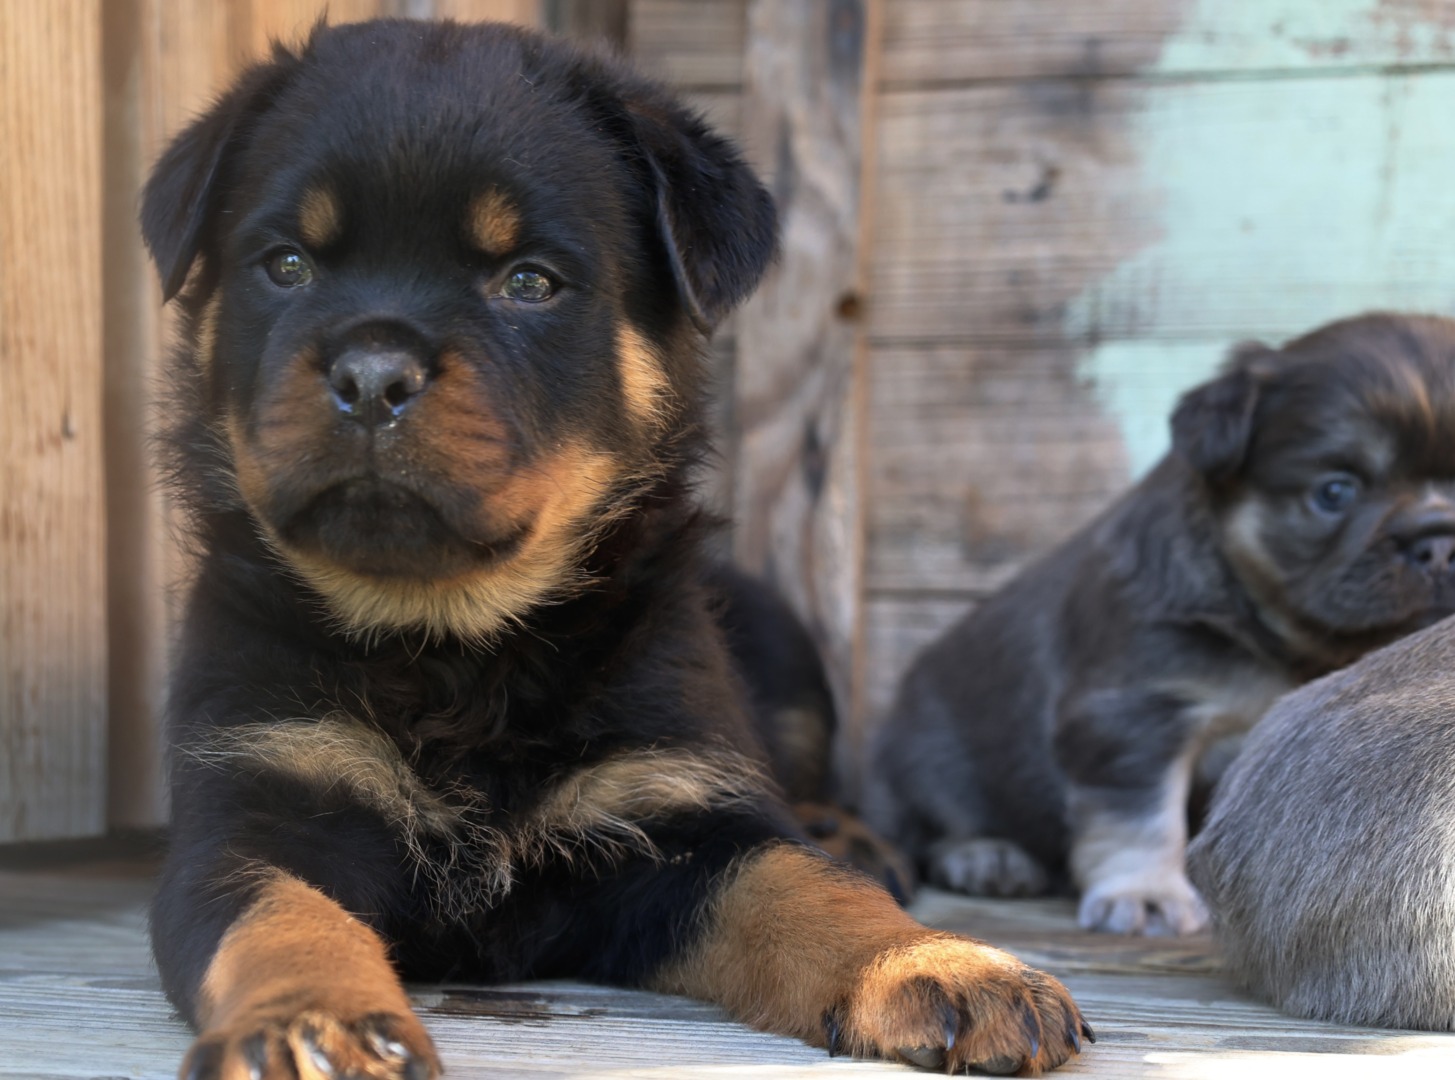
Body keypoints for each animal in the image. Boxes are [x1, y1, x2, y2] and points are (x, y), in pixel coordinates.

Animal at [141, 19, 1088, 1079]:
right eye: (287, 266)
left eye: (529, 283)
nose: (371, 375)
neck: (453, 644)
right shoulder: (254, 806)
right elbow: (278, 919)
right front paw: (311, 1024)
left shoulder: (673, 818)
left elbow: (802, 882)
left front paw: (937, 961)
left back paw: (851, 833)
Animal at [865, 313, 1455, 936]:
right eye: (1335, 491)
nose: (1439, 541)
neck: (1274, 633)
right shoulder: (1138, 713)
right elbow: (1142, 815)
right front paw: (1145, 893)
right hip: (925, 763)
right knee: (932, 826)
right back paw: (987, 856)